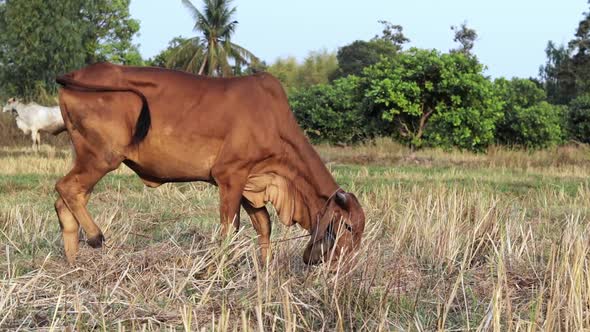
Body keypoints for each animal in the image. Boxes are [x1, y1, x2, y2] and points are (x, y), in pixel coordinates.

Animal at [54, 62, 366, 268]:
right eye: (349, 228)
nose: (344, 266)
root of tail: (75, 74)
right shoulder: (230, 176)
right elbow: (230, 229)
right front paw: (220, 271)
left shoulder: (251, 182)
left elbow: (264, 226)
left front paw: (265, 270)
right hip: (103, 157)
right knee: (66, 188)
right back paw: (95, 237)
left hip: (87, 157)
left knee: (65, 201)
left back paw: (73, 265)